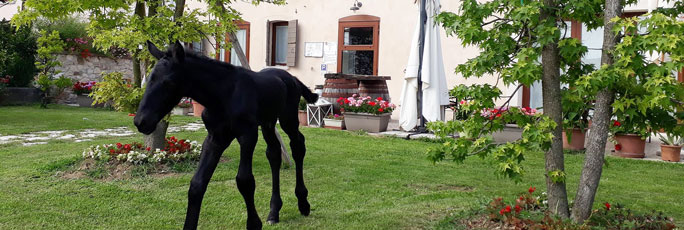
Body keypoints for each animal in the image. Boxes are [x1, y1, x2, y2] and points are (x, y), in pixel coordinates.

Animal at [134, 40, 318, 229]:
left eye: (169, 82)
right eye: (149, 79)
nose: (141, 121)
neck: (222, 96)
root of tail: (293, 79)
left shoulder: (247, 135)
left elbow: (244, 180)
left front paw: (254, 223)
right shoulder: (215, 138)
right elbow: (197, 183)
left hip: (288, 119)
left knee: (297, 145)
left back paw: (303, 203)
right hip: (268, 123)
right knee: (273, 153)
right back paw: (274, 211)